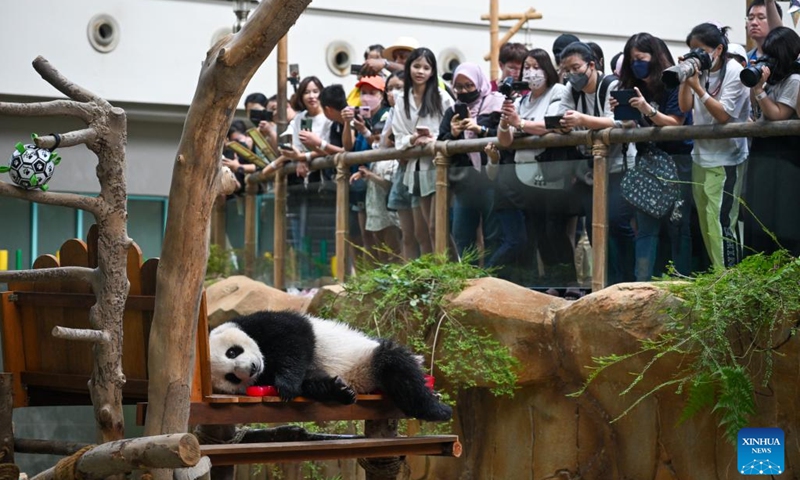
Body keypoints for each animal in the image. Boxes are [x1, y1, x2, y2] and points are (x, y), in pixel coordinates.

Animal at [209, 310, 454, 422]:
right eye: (232, 377)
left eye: (232, 352)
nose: (251, 368)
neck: (266, 361)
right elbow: (310, 379)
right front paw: (339, 389)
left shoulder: (263, 323)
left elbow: (296, 339)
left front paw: (286, 386)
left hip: (370, 356)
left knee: (399, 367)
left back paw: (438, 409)